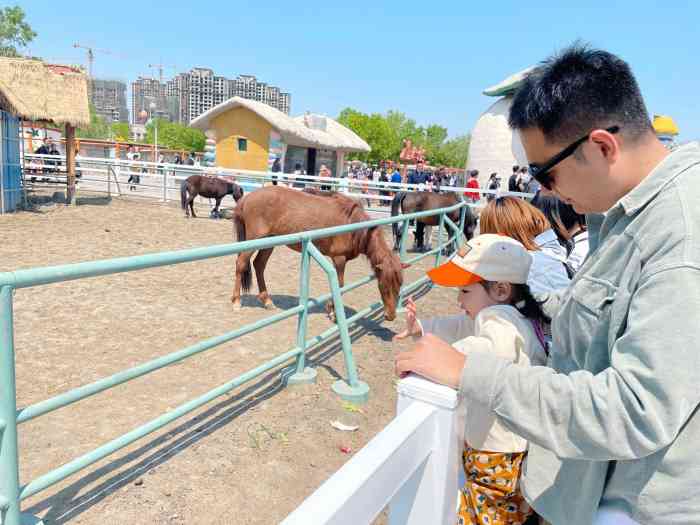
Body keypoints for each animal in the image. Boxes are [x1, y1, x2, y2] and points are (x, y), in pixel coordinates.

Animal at [231, 186, 404, 322]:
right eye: (383, 285)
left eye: (399, 285)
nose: (391, 315)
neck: (353, 225)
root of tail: (246, 199)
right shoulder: (338, 259)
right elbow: (340, 285)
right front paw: (332, 312)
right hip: (254, 240)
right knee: (241, 264)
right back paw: (236, 302)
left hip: (268, 242)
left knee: (259, 265)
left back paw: (267, 301)